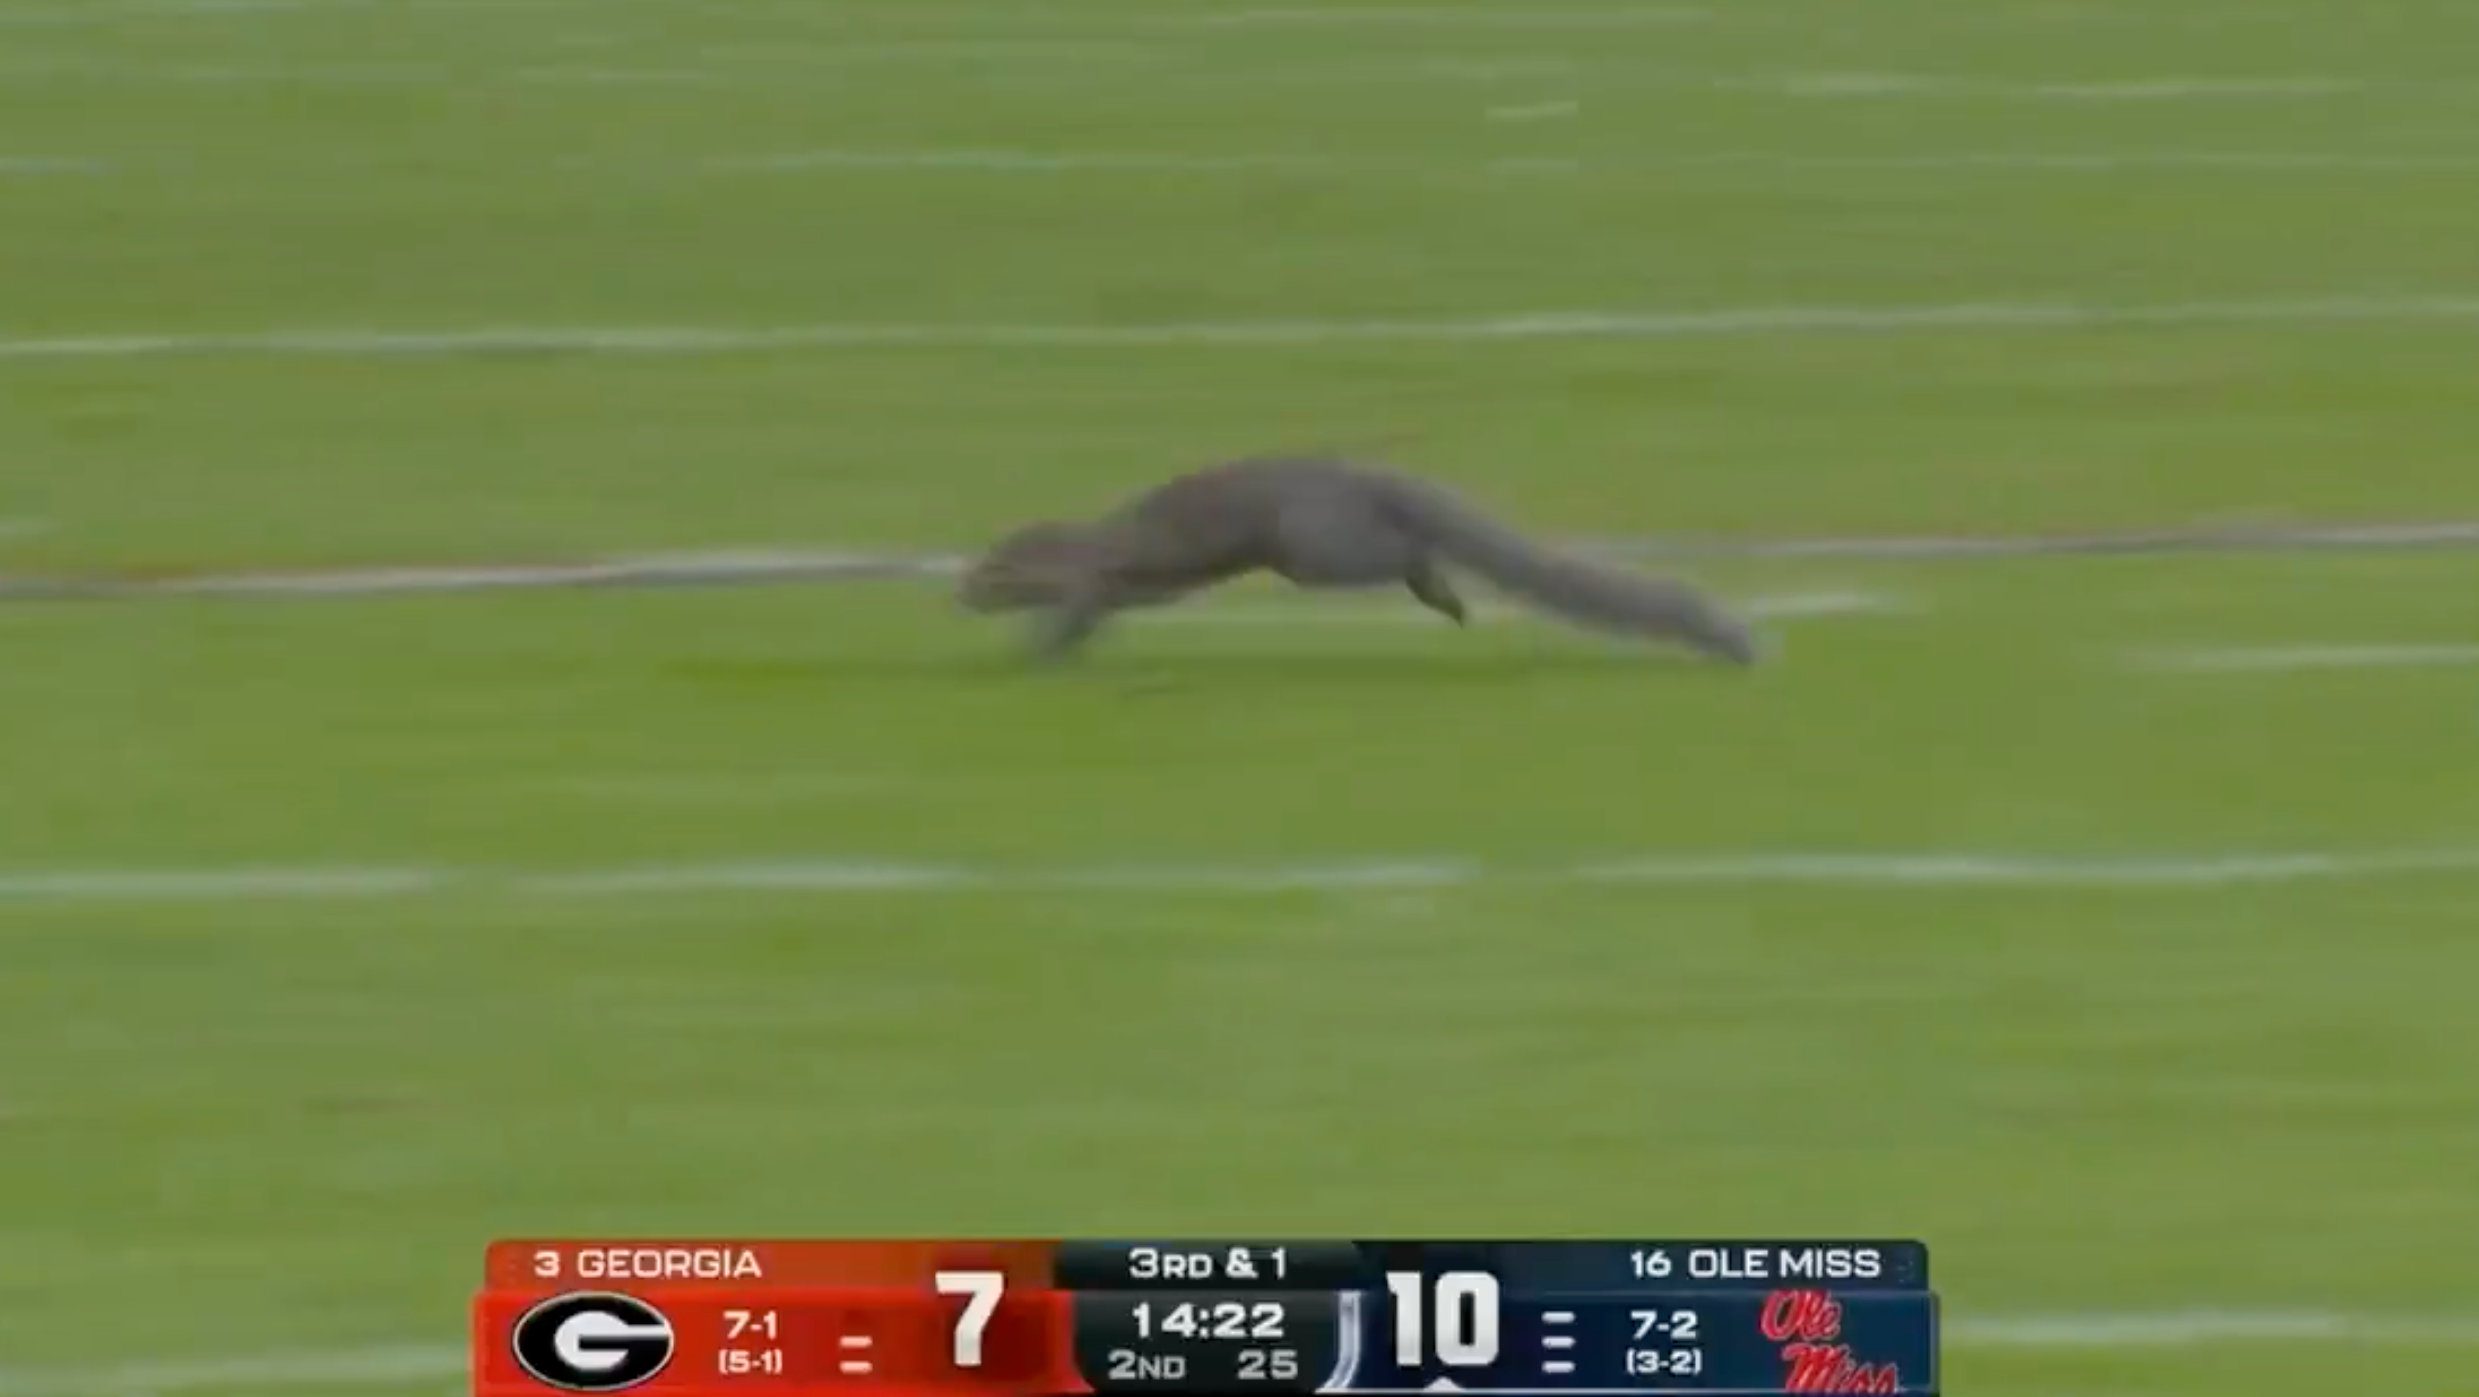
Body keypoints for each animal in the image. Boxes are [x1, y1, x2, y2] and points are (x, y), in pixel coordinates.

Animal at [956, 456, 1763, 665]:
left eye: (983, 578)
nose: (955, 596)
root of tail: (1375, 475)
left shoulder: (1093, 577)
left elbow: (1074, 609)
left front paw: (1034, 653)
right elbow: (1095, 618)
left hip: (1313, 546)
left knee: (1406, 550)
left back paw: (1447, 595)